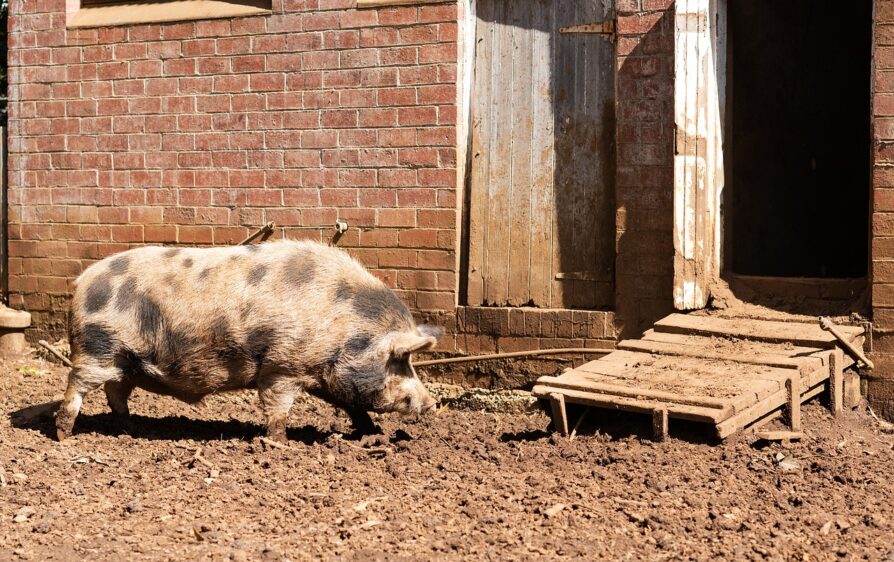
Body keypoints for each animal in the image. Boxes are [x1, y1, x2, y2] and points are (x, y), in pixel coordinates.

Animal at [55, 238, 440, 440]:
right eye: (400, 361)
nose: (432, 403)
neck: (342, 324)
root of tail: (82, 281)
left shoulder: (321, 372)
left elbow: (352, 405)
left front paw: (371, 434)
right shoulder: (281, 366)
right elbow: (277, 408)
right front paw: (280, 443)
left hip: (124, 360)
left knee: (115, 393)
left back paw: (130, 428)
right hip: (97, 348)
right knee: (77, 384)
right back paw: (64, 435)